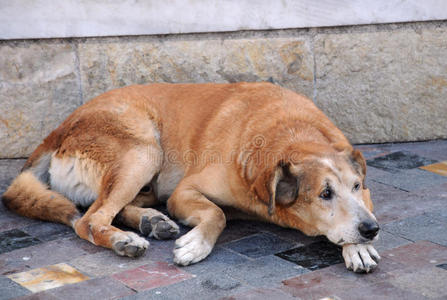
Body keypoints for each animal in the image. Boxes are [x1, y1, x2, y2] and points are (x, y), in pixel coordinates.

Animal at [3, 83, 382, 274]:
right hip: (143, 151)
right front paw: (196, 244)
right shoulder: (186, 190)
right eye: (324, 194)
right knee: (90, 219)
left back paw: (150, 221)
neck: (290, 134)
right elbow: (217, 214)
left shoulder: (365, 198)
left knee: (113, 207)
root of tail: (60, 128)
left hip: (146, 174)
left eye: (356, 186)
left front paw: (359, 249)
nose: (371, 230)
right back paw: (124, 239)